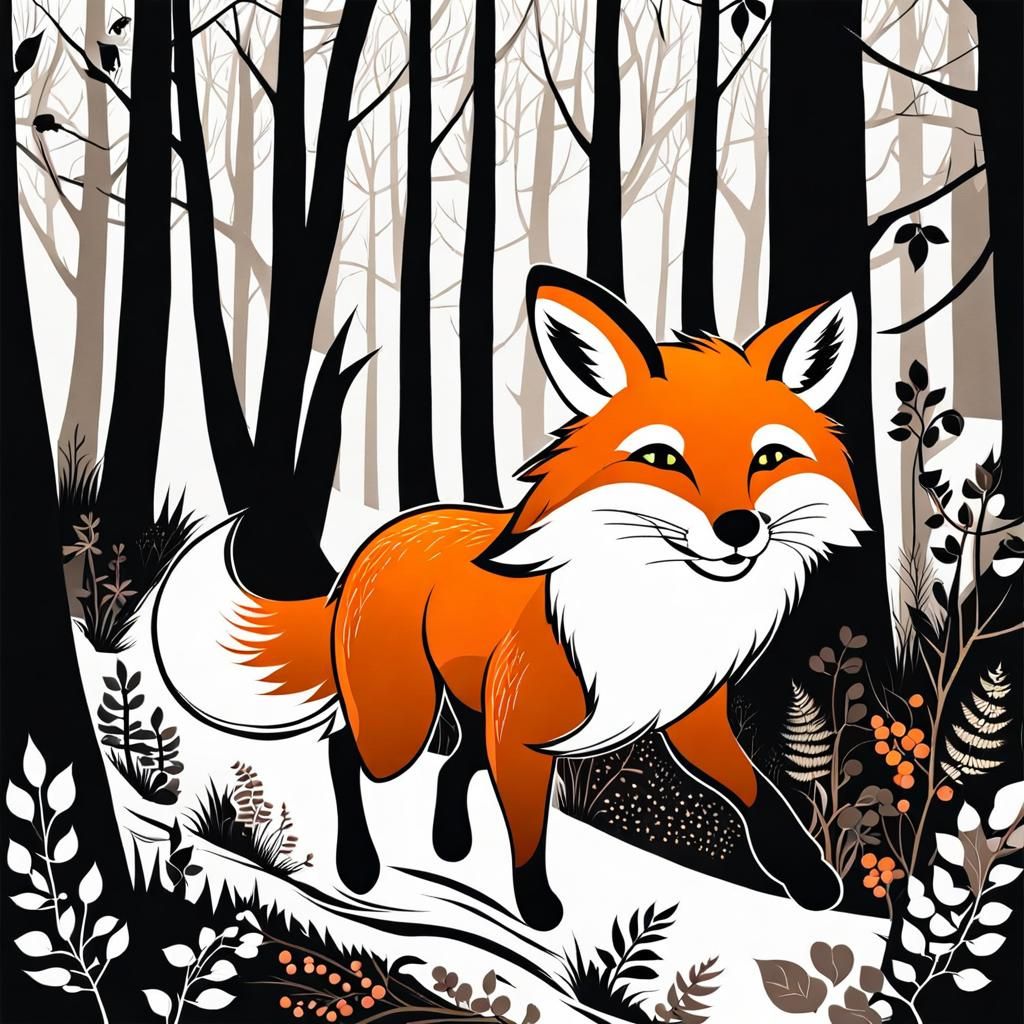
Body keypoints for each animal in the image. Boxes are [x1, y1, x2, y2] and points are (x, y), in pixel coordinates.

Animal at [153, 264, 868, 931]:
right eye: (663, 459)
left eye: (769, 458)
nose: (740, 527)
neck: (651, 601)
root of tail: (372, 545)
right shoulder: (520, 736)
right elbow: (529, 832)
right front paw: (538, 907)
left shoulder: (692, 721)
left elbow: (762, 796)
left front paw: (810, 880)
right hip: (403, 726)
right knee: (345, 752)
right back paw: (359, 866)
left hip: (466, 710)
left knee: (450, 766)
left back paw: (448, 841)